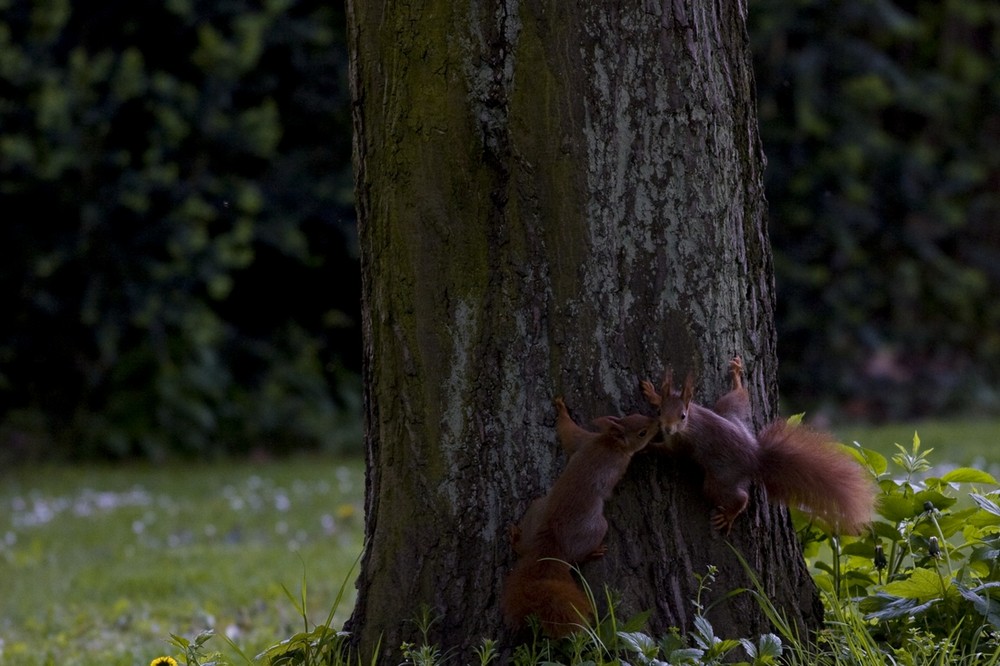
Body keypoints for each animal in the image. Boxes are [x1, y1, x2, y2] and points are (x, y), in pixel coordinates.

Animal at [504, 396, 660, 636]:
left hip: (536, 509)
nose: (658, 421)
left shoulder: (584, 440)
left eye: (637, 414)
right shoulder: (617, 464)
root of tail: (551, 536)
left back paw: (515, 537)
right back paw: (592, 553)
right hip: (594, 527)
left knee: (522, 547)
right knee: (574, 559)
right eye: (642, 432)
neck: (608, 442)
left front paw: (561, 409)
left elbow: (568, 432)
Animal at [640, 356, 876, 532]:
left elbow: (670, 452)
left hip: (720, 479)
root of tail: (755, 456)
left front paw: (646, 446)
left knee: (739, 497)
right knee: (739, 396)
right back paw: (737, 374)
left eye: (682, 416)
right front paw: (653, 394)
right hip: (729, 412)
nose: (667, 429)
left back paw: (729, 515)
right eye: (659, 412)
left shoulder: (682, 445)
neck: (691, 421)